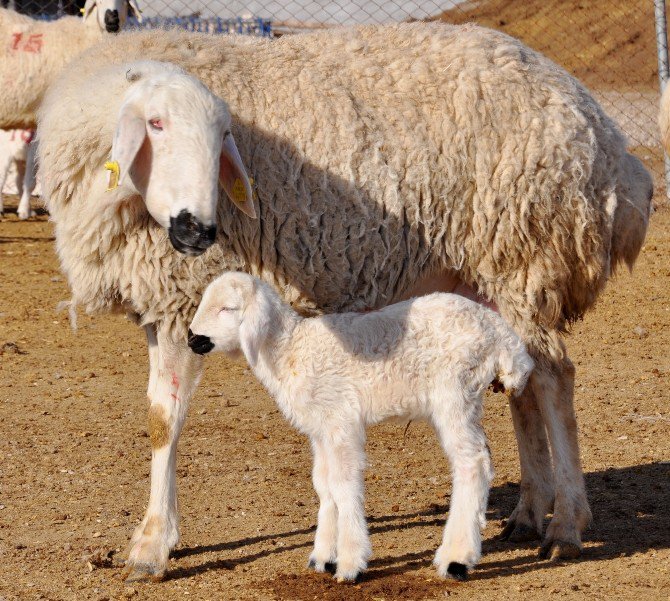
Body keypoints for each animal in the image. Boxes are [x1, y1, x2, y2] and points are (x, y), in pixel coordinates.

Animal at [188, 272, 536, 580]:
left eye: (227, 308)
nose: (192, 338)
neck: (290, 350)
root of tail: (505, 339)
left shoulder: (341, 420)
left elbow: (344, 486)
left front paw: (349, 563)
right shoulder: (322, 428)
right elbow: (324, 485)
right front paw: (323, 557)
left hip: (456, 390)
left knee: (472, 463)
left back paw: (456, 560)